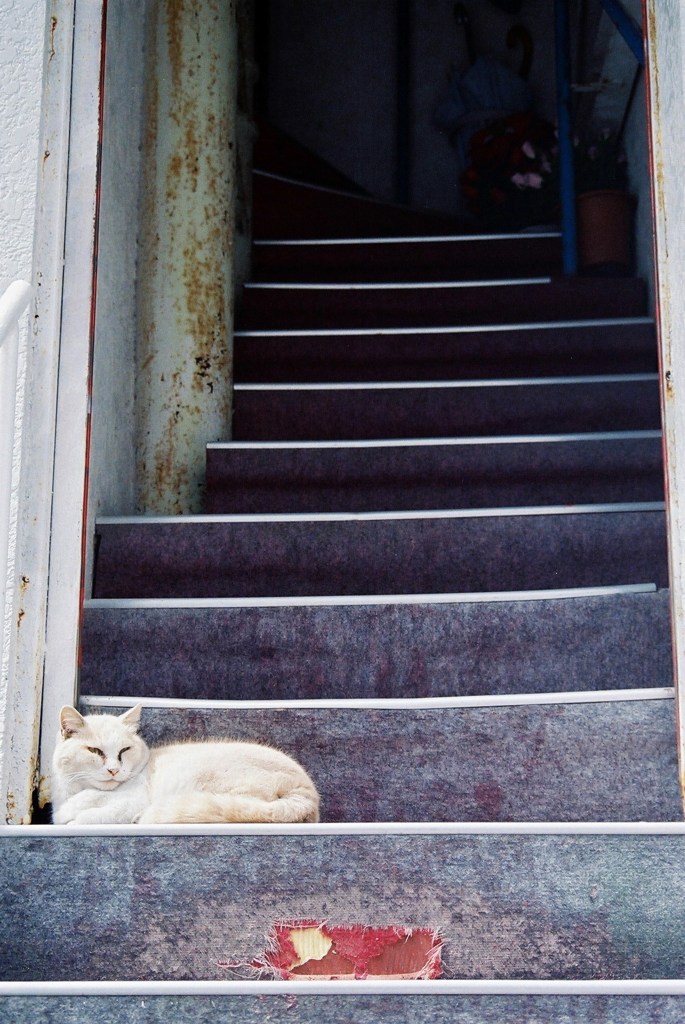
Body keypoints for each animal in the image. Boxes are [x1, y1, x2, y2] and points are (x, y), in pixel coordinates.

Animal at [52, 704, 319, 823]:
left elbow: (93, 811)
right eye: (95, 751)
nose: (114, 770)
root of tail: (308, 791)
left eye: (124, 750)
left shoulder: (130, 802)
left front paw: (72, 816)